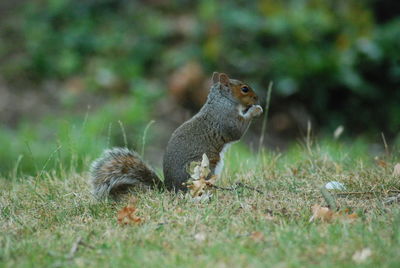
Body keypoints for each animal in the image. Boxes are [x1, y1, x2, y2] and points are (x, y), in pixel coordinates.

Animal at [89, 71, 262, 199]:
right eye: (245, 89)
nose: (257, 97)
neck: (222, 100)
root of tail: (169, 188)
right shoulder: (226, 119)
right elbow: (237, 131)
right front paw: (255, 110)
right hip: (200, 168)